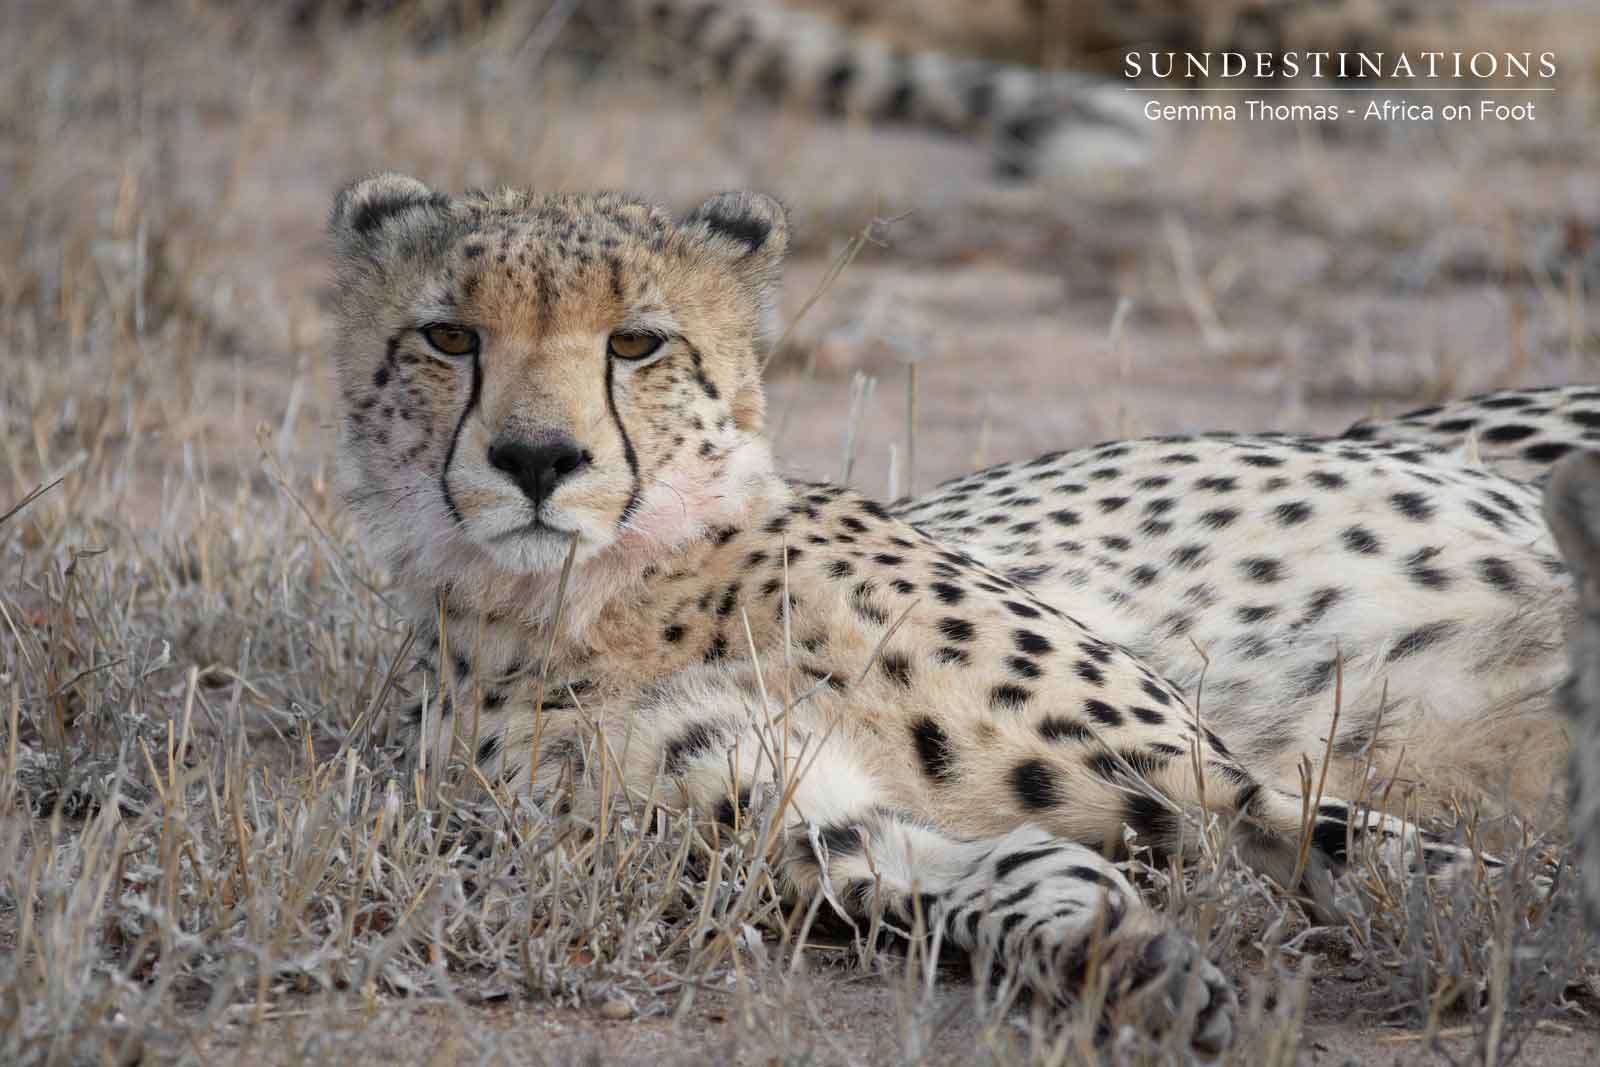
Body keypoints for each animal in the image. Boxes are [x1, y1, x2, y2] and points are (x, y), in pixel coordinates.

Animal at [329, 171, 1577, 1053]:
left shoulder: (1208, 777)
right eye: (450, 337)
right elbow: (1014, 878)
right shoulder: (820, 839)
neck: (626, 594)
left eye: (635, 341)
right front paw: (1131, 960)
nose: (537, 458)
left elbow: (1439, 867)